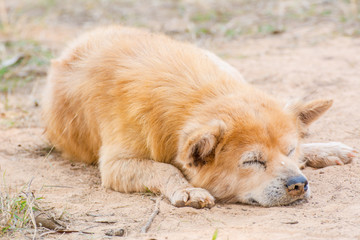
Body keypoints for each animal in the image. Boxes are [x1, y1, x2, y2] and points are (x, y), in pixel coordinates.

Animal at [41, 24, 354, 208]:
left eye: (289, 151)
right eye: (252, 161)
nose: (299, 184)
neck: (197, 96)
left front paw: (316, 151)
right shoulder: (115, 165)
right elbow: (165, 168)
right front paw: (187, 189)